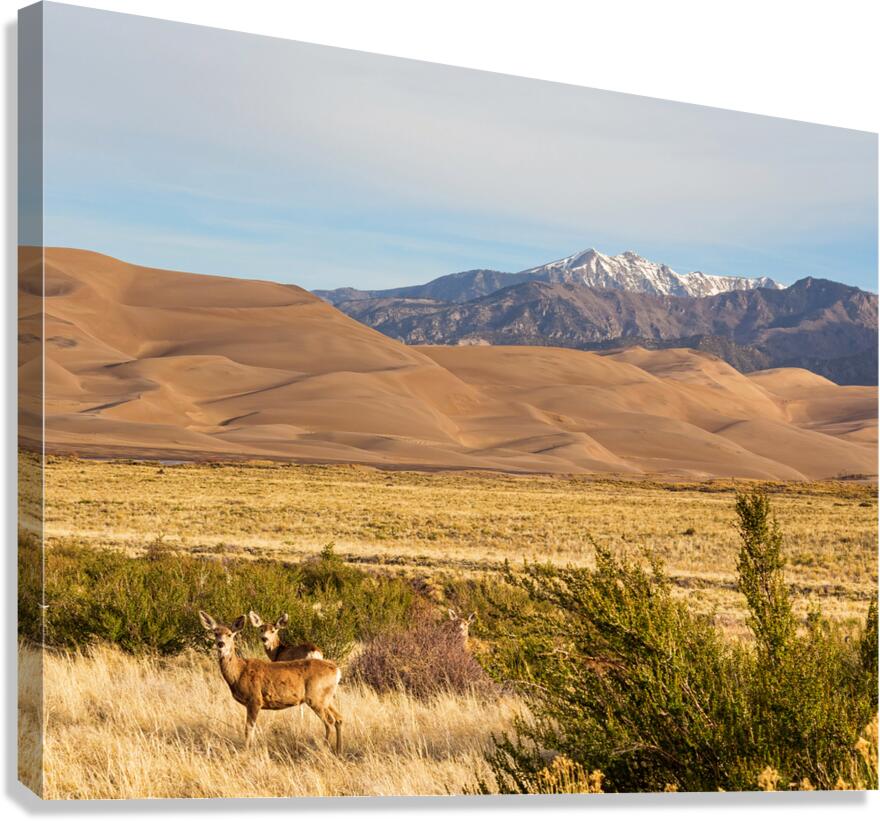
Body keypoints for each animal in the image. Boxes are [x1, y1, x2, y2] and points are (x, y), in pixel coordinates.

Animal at [198, 611, 343, 754]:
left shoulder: (255, 699)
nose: (221, 644)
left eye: (229, 634)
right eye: (215, 633)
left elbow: (248, 730)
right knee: (339, 718)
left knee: (329, 722)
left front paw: (247, 751)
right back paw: (338, 751)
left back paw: (324, 750)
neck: (239, 672)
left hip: (315, 697)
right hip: (326, 698)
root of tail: (337, 671)